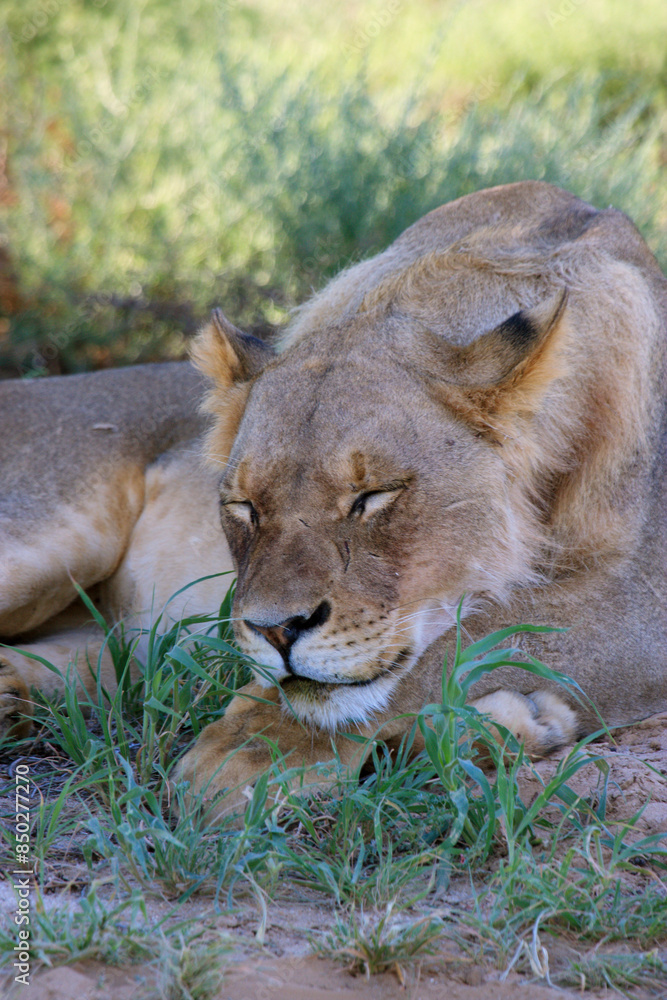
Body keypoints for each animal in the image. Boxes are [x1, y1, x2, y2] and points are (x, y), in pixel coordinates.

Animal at [1, 181, 665, 821]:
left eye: (371, 497)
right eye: (244, 507)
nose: (276, 631)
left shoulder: (641, 602)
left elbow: (473, 637)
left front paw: (254, 754)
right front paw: (259, 753)